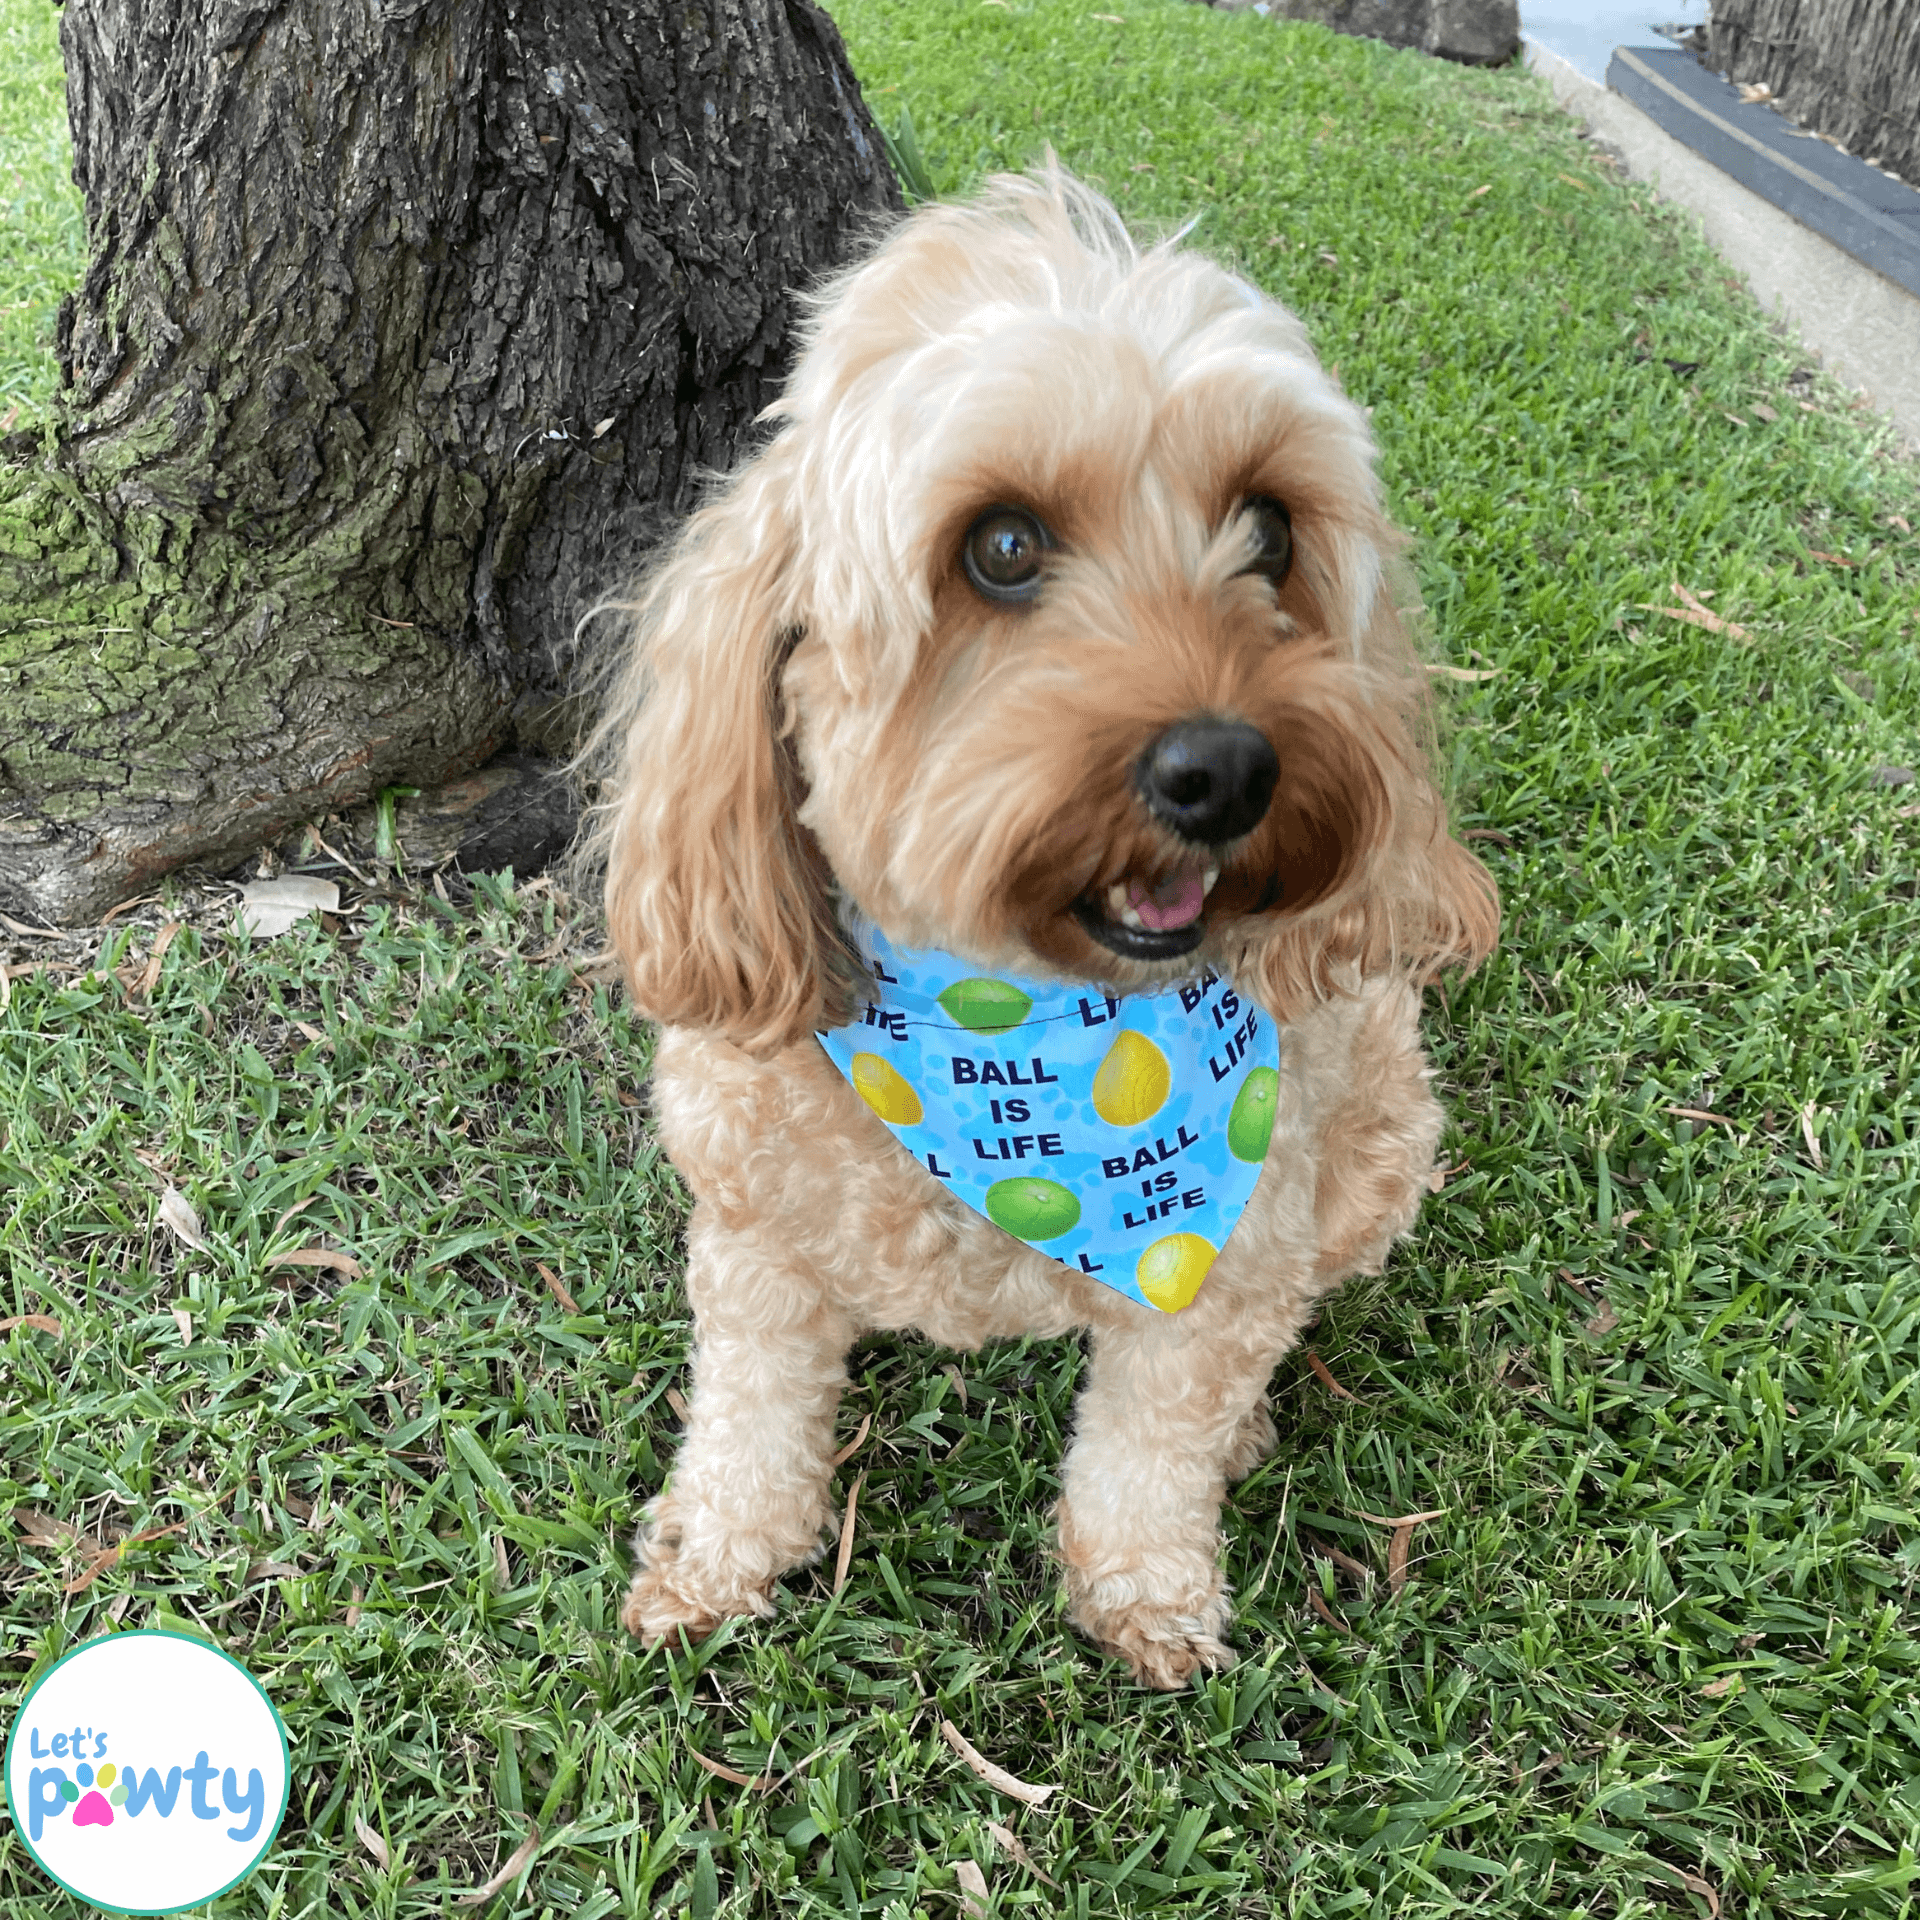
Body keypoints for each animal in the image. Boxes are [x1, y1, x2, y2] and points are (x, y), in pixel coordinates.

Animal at [587, 172, 1497, 1689]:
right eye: (1003, 546)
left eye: (1269, 530)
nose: (1226, 770)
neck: (1015, 1039)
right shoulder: (754, 1241)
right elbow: (750, 1414)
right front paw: (715, 1558)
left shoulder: (1225, 1266)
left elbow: (1155, 1443)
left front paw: (1148, 1595)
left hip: (1380, 1144)